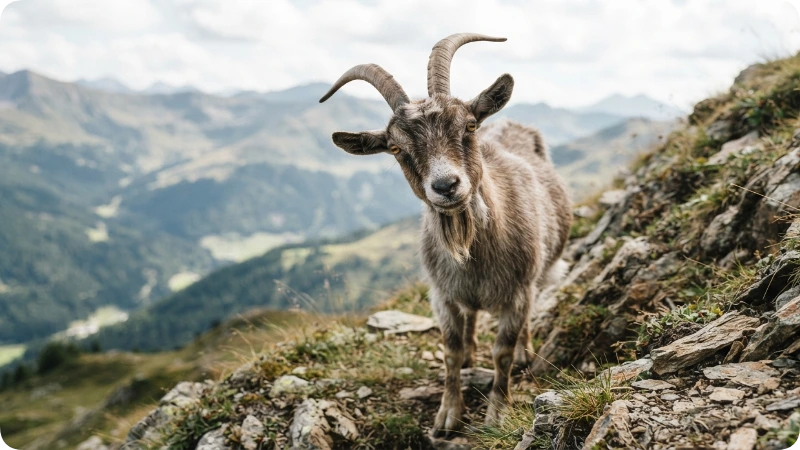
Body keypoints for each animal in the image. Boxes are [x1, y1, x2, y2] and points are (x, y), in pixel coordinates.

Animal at [319, 33, 571, 438]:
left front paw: (497, 413)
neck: (474, 254)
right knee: (470, 320)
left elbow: (501, 352)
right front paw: (447, 416)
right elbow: (450, 352)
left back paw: (523, 352)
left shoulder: (517, 293)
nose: (446, 185)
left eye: (468, 126)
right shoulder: (442, 295)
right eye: (396, 147)